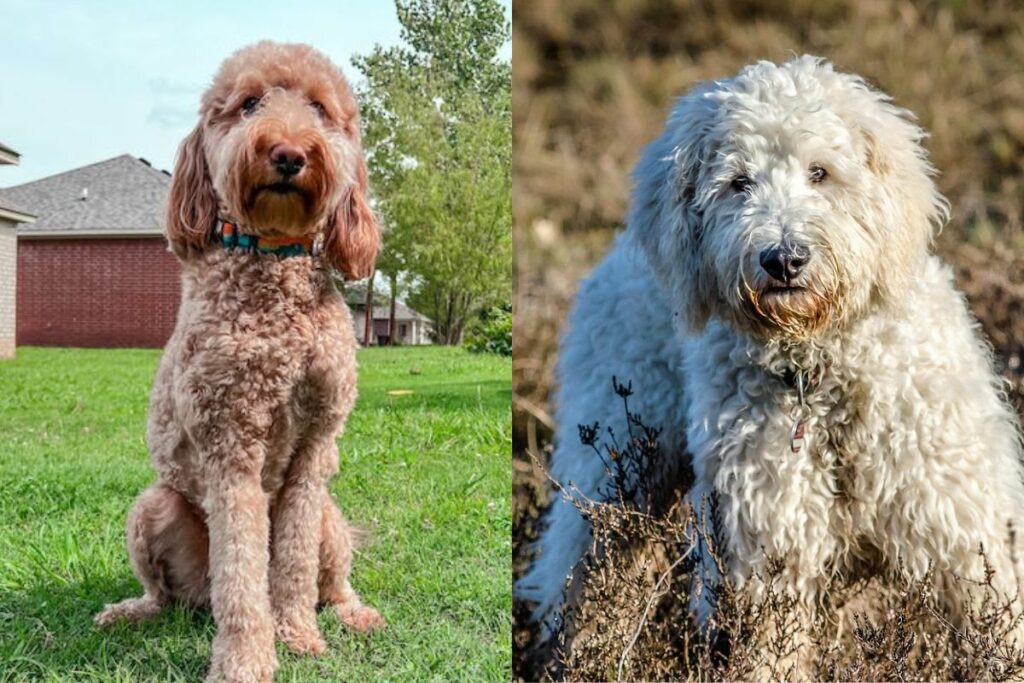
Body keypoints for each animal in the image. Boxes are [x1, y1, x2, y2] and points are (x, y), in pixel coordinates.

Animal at [95, 41, 385, 679]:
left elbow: (293, 564)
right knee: (174, 594)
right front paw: (248, 658)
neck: (273, 259)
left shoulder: (314, 450)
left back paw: (354, 613)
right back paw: (131, 611)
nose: (289, 153)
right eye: (249, 103)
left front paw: (297, 636)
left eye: (319, 108)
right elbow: (243, 572)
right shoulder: (230, 446)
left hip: (330, 516)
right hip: (154, 507)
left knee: (335, 581)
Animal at [520, 56, 1024, 663]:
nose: (784, 259)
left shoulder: (962, 533)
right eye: (738, 183)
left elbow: (996, 631)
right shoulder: (767, 542)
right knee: (581, 573)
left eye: (820, 172)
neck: (820, 372)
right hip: (615, 465)